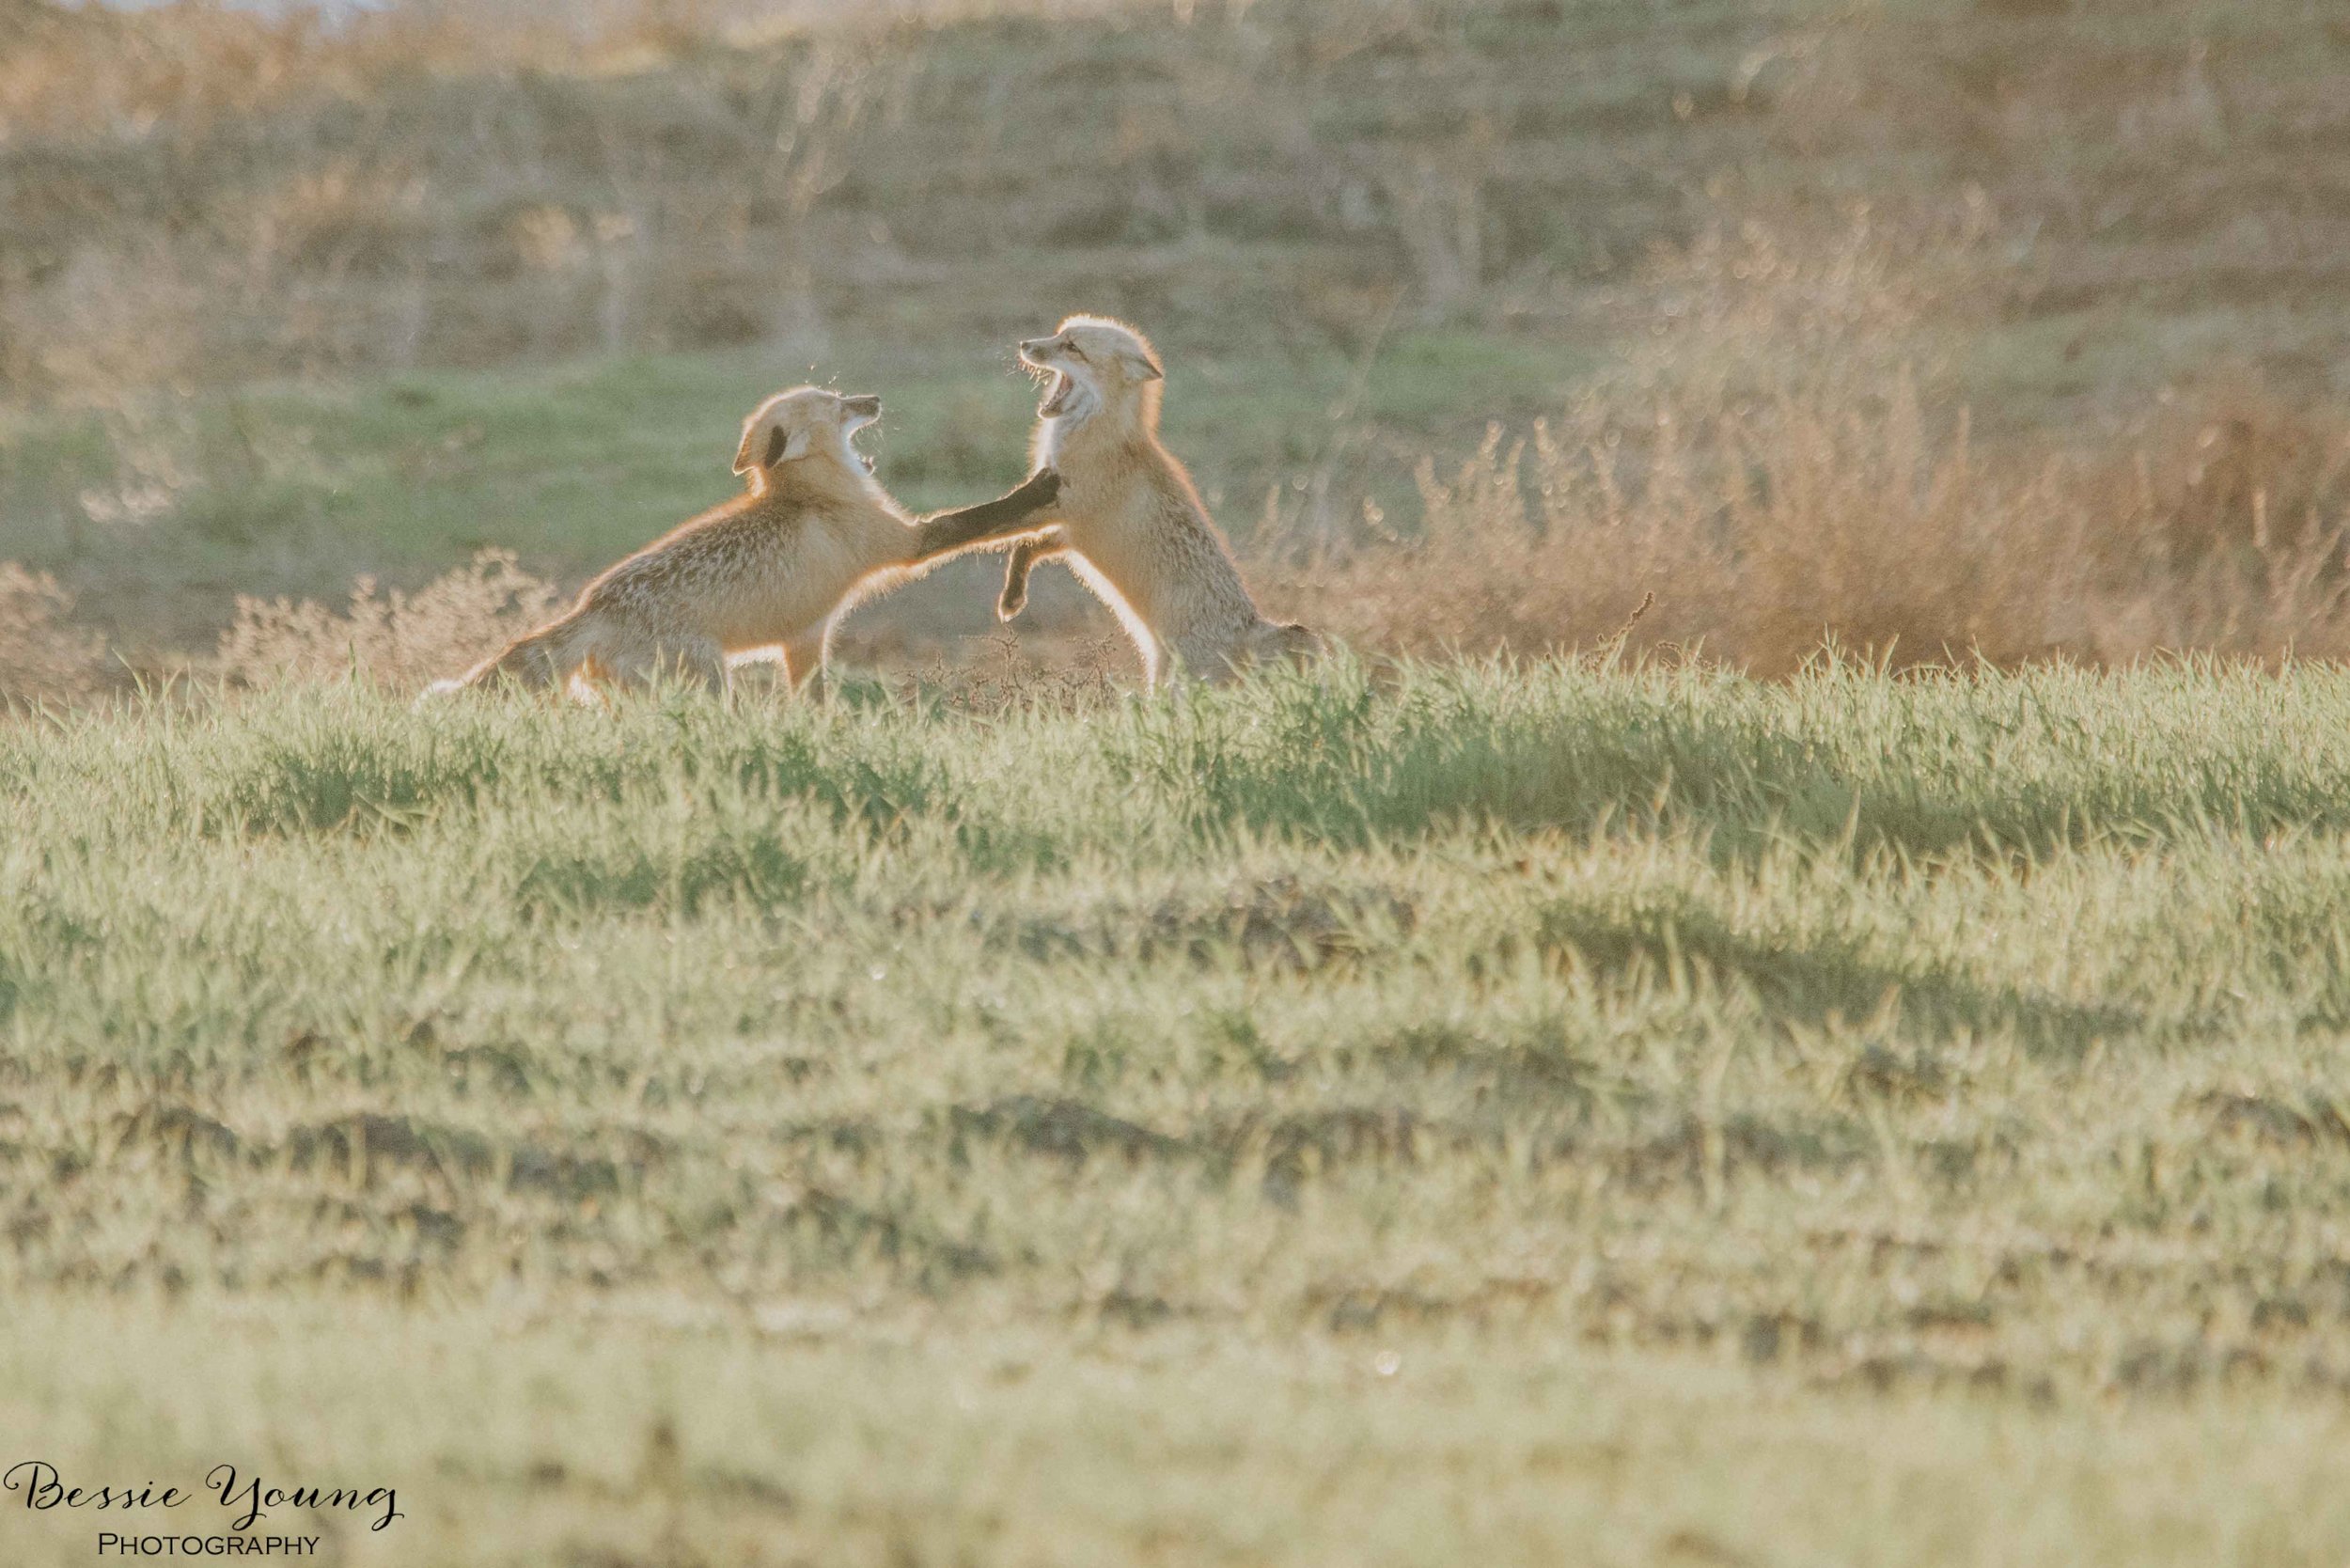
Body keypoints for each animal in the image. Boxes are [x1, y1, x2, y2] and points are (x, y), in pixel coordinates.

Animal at [432, 383, 1067, 696]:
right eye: (837, 404)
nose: (875, 400)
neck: (809, 493)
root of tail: (592, 606)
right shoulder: (907, 544)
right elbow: (980, 517)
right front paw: (1039, 485)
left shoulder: (805, 638)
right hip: (711, 687)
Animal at [992, 315, 1325, 691]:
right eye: (1058, 335)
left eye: (1072, 347)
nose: (1025, 345)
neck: (1100, 436)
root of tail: (1251, 625)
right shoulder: (1072, 534)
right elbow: (1026, 548)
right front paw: (1012, 597)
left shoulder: (1069, 507)